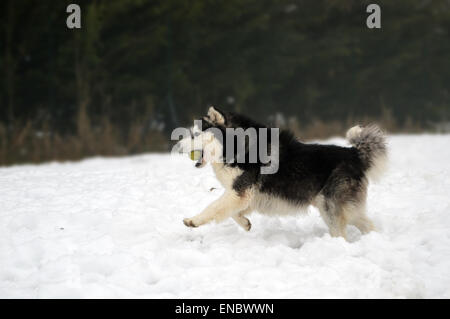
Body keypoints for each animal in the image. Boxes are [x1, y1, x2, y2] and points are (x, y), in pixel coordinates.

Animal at [176, 107, 386, 240]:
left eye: (196, 134)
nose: (177, 146)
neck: (239, 146)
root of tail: (354, 154)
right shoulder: (248, 195)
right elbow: (233, 213)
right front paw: (245, 224)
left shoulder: (240, 192)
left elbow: (213, 207)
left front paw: (193, 221)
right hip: (339, 208)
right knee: (367, 224)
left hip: (331, 209)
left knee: (342, 233)